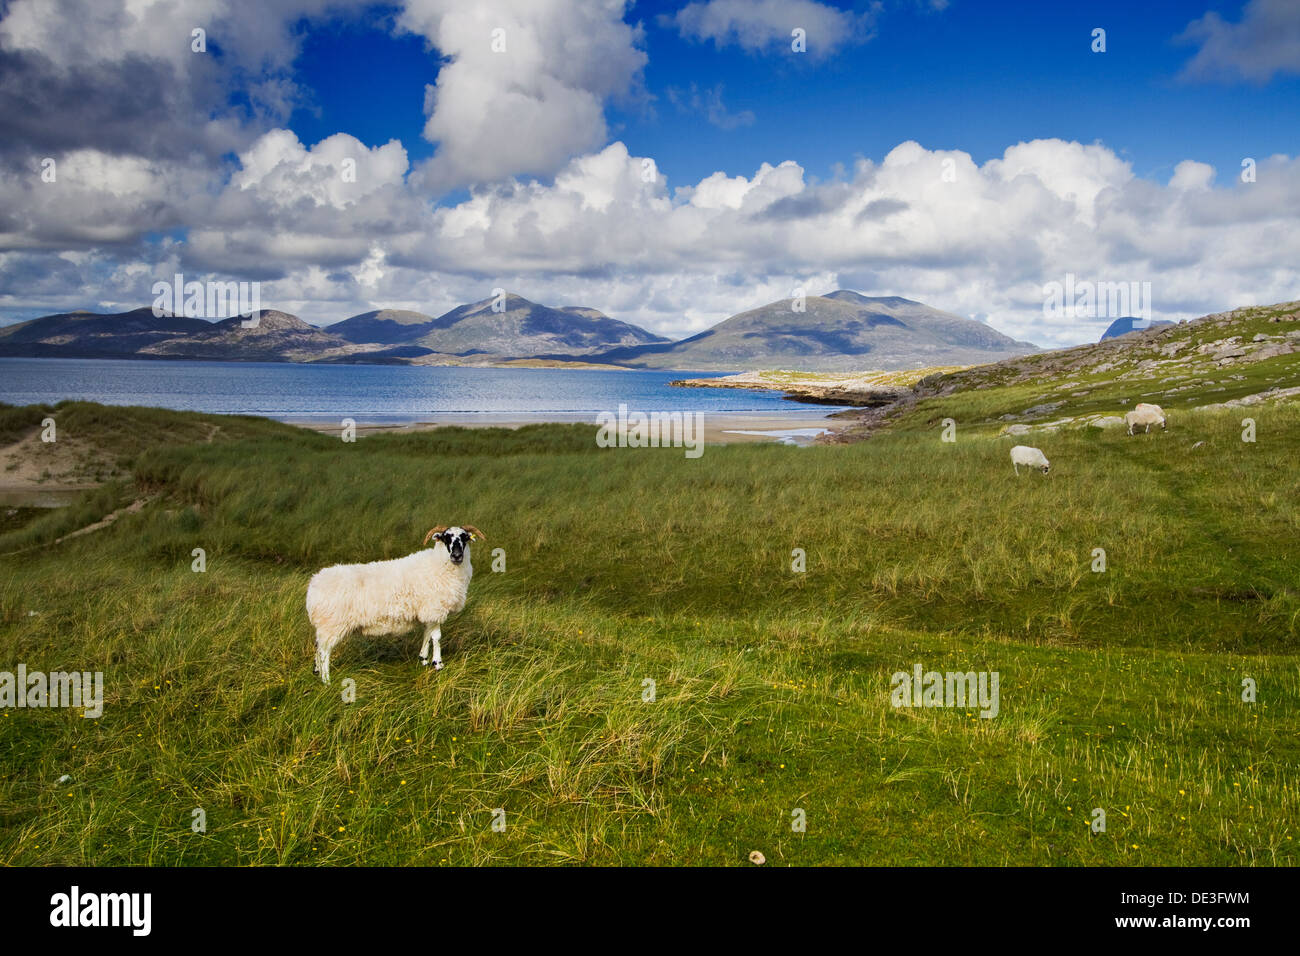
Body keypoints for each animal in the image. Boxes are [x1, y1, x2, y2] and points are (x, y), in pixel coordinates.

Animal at [306, 528, 486, 686]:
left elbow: (427, 635)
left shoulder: (428, 612)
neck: (438, 564)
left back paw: (316, 672)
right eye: (446, 538)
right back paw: (326, 681)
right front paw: (438, 663)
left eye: (465, 537)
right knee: (324, 653)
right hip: (332, 624)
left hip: (324, 626)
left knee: (318, 647)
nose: (457, 556)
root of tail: (313, 587)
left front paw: (423, 659)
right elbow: (436, 637)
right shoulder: (435, 609)